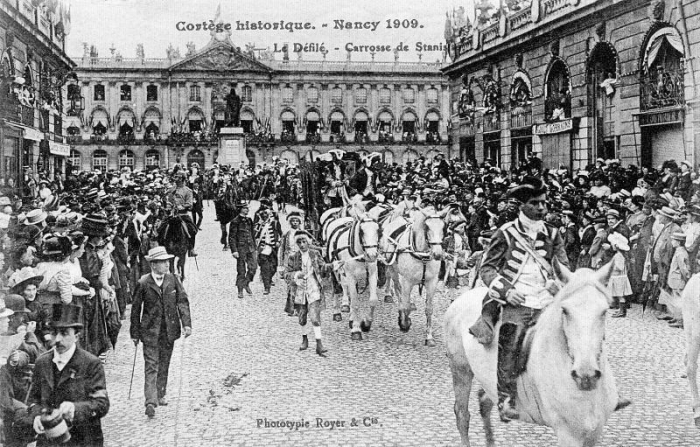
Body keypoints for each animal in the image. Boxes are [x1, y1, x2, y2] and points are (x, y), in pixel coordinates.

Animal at [380, 208, 446, 348]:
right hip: (393, 269)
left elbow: (429, 309)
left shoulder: (432, 282)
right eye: (427, 226)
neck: (422, 256)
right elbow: (405, 305)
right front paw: (404, 323)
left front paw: (429, 337)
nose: (438, 254)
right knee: (397, 288)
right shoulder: (407, 281)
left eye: (443, 226)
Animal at [446, 262, 620, 447]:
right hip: (460, 369)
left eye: (604, 311)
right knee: (462, 414)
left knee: (485, 401)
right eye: (565, 310)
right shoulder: (568, 434)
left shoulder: (594, 433)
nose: (586, 374)